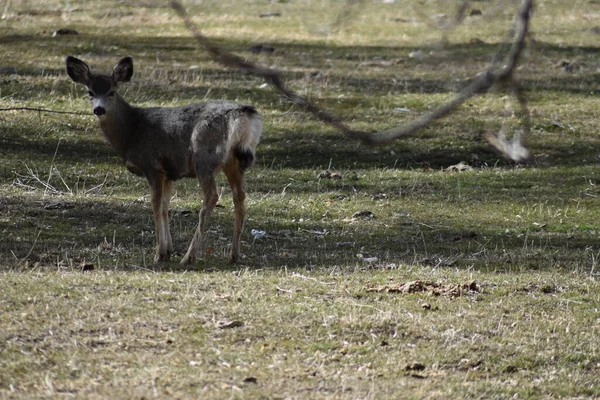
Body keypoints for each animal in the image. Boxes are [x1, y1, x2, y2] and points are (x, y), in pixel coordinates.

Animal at [66, 54, 262, 264]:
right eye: (90, 92)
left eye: (112, 91)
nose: (99, 110)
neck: (132, 131)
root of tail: (244, 115)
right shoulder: (168, 173)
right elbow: (165, 207)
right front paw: (168, 249)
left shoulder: (152, 166)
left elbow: (155, 205)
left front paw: (159, 254)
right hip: (233, 161)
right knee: (239, 196)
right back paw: (234, 255)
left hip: (204, 156)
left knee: (212, 196)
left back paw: (189, 257)